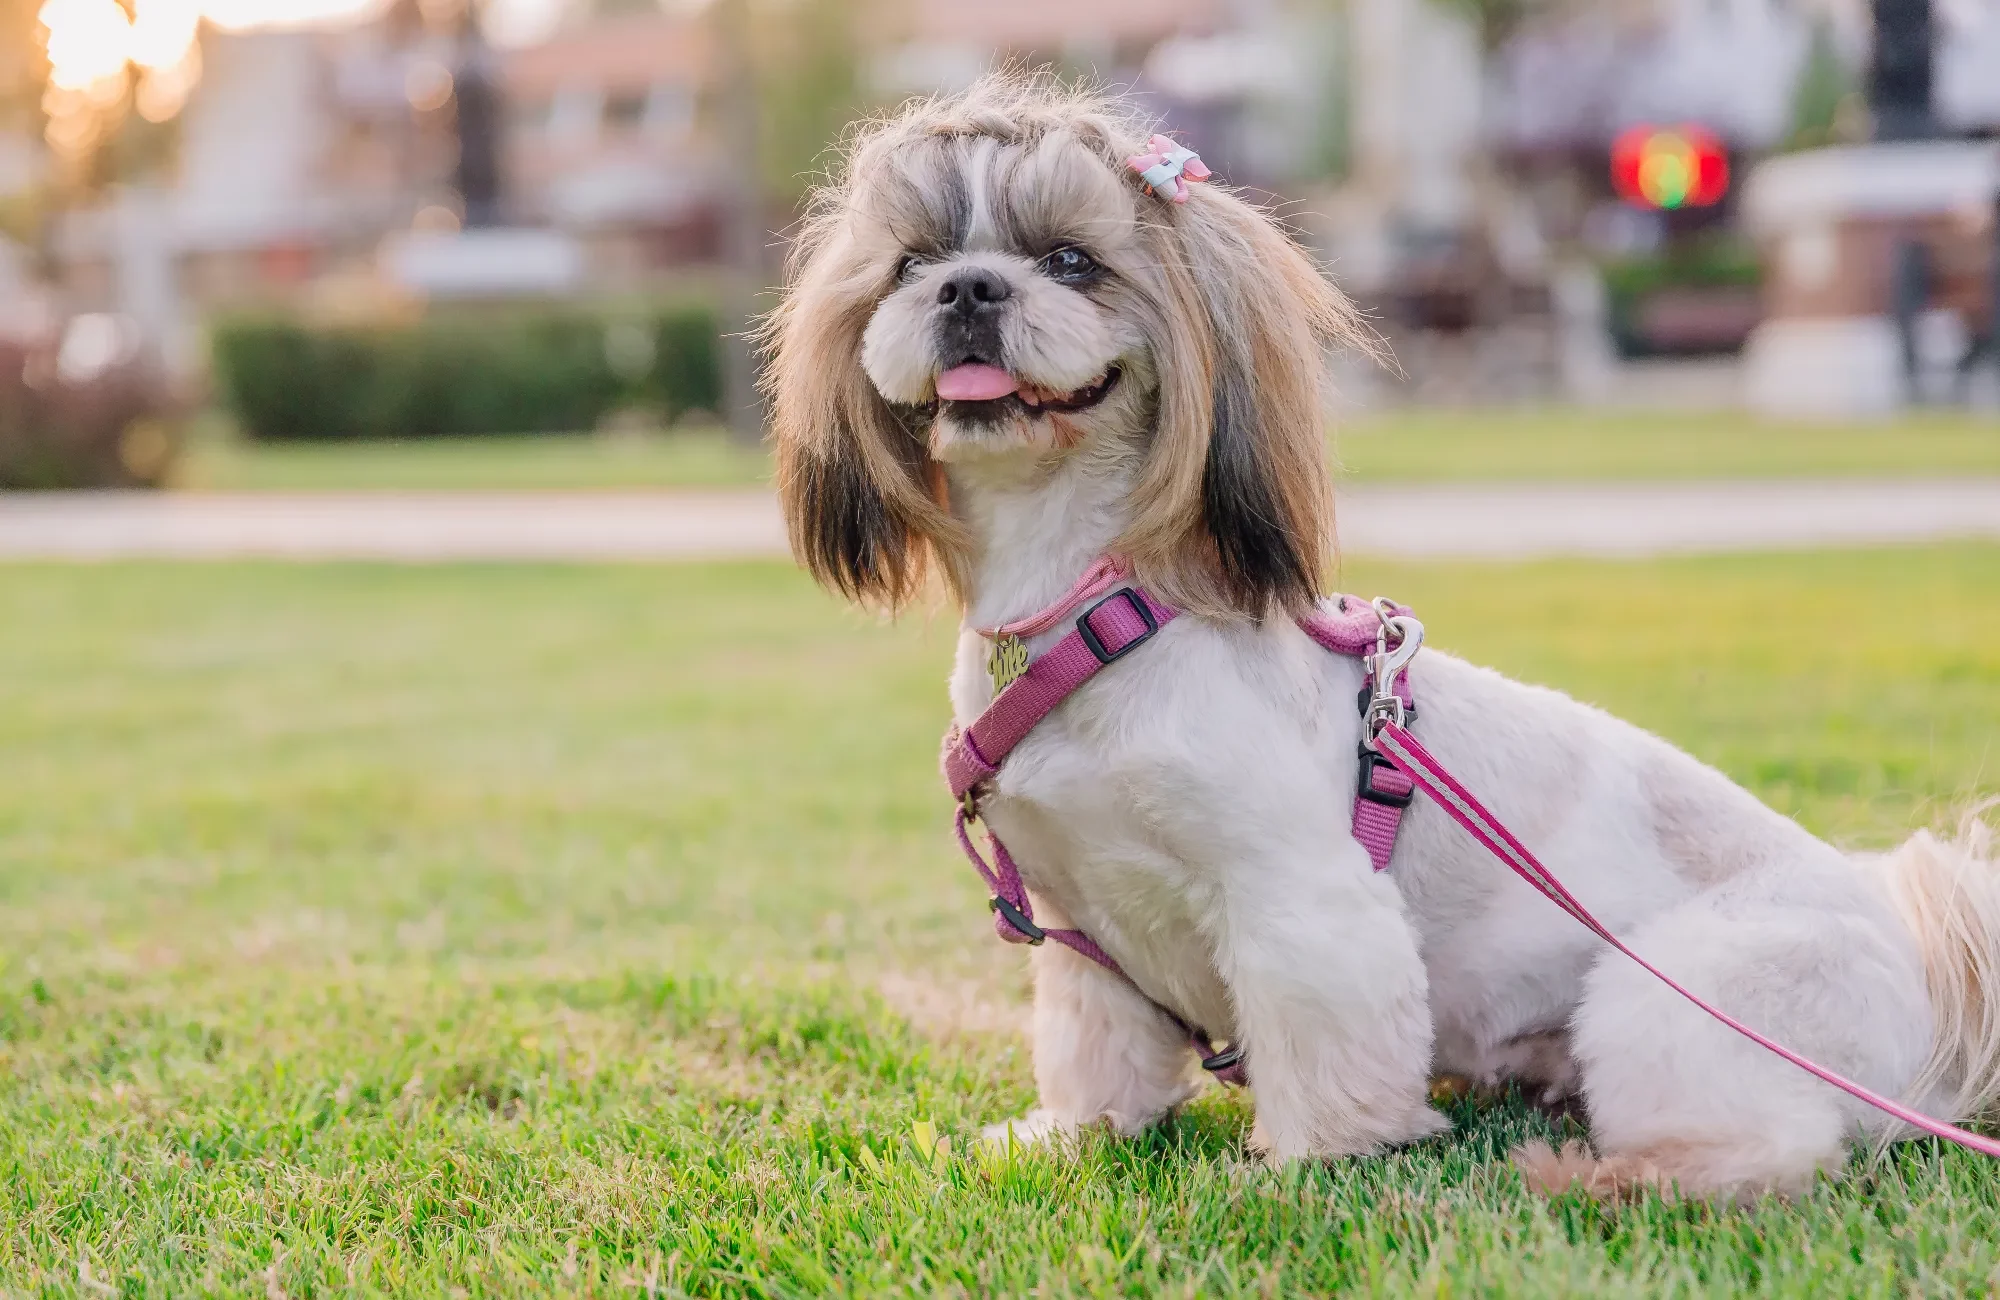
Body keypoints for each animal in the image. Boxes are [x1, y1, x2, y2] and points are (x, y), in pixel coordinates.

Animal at [752, 76, 2000, 1200]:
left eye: (1067, 261)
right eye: (909, 262)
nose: (967, 286)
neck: (1091, 606)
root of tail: (1926, 986)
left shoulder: (1301, 898)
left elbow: (1323, 1037)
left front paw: (1304, 1164)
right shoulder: (1081, 930)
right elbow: (1095, 1051)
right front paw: (1075, 1135)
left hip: (1677, 1001)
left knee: (1769, 1154)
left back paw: (1596, 1175)